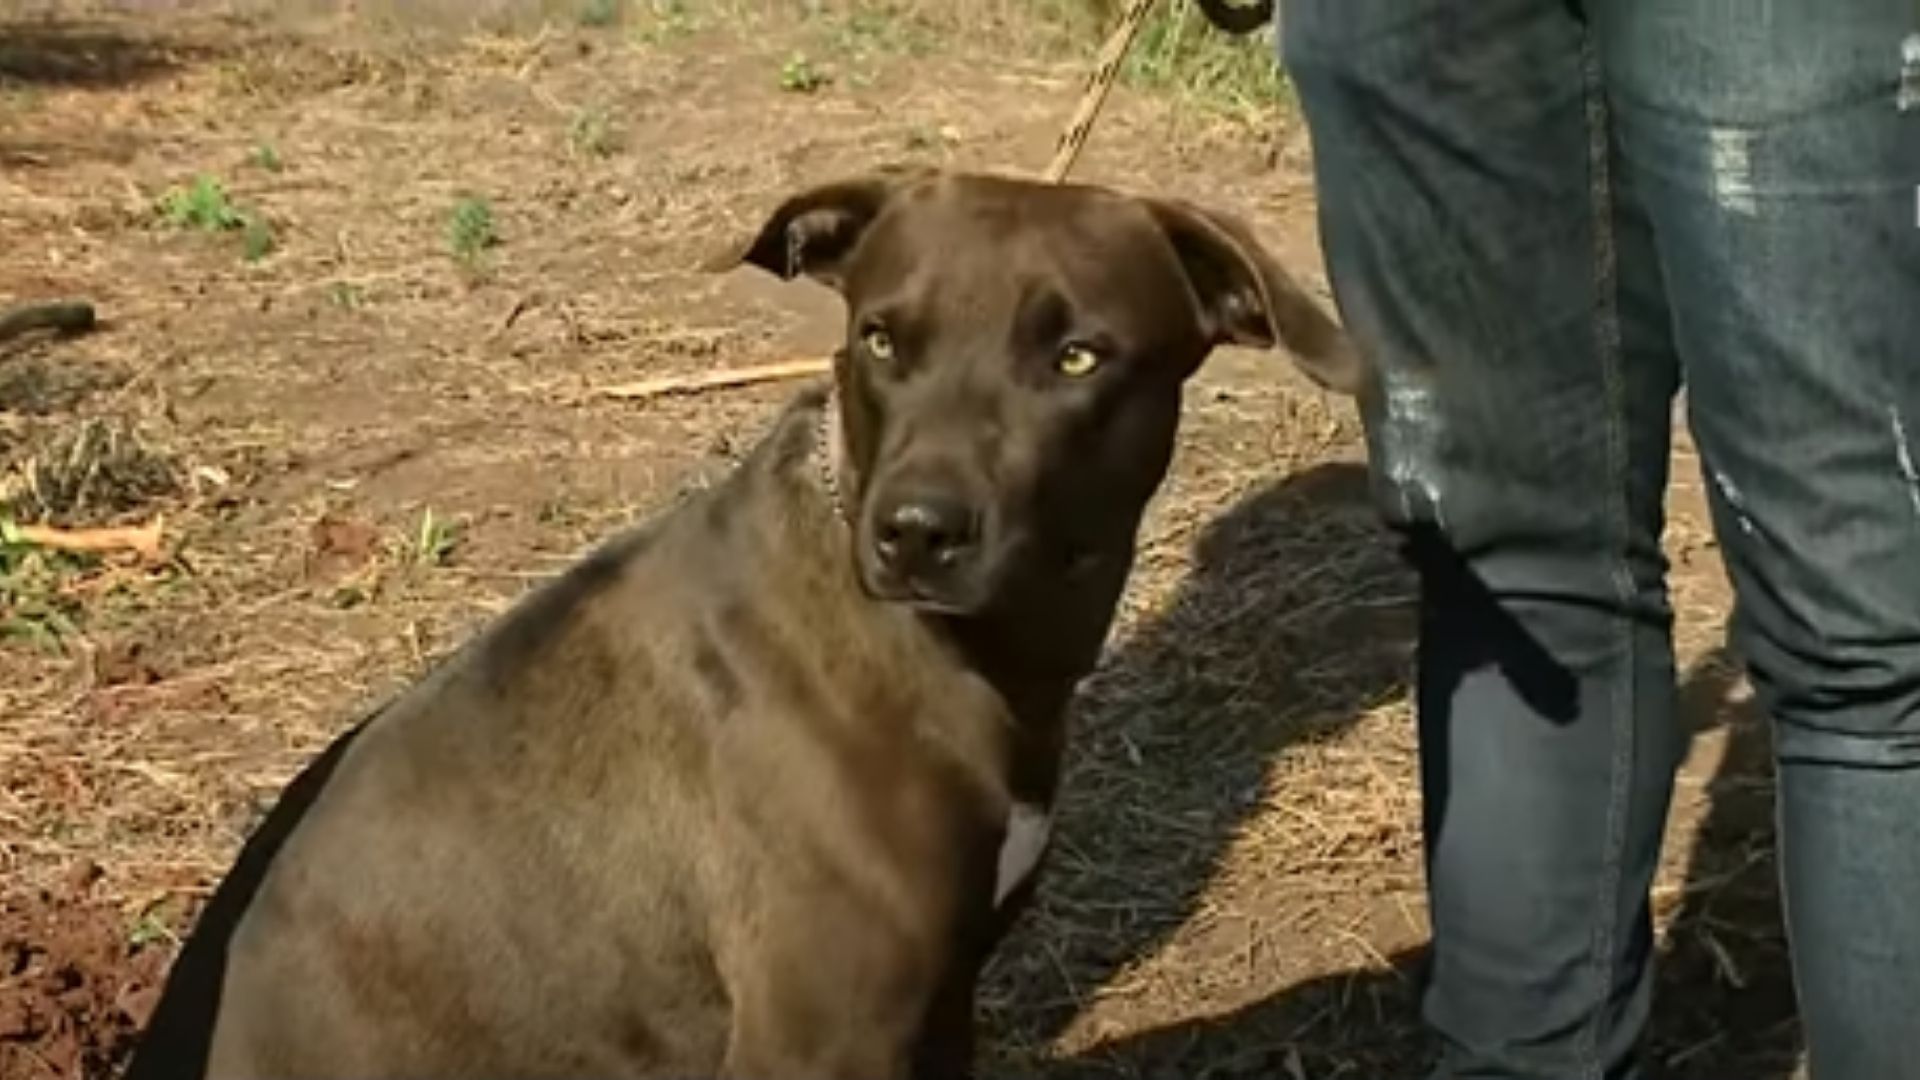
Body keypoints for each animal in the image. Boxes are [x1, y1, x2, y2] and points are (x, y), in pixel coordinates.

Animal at [123, 164, 1367, 1068]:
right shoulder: (823, 1034)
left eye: (1076, 356)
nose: (916, 531)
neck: (953, 650)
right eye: (879, 338)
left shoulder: (940, 1001)